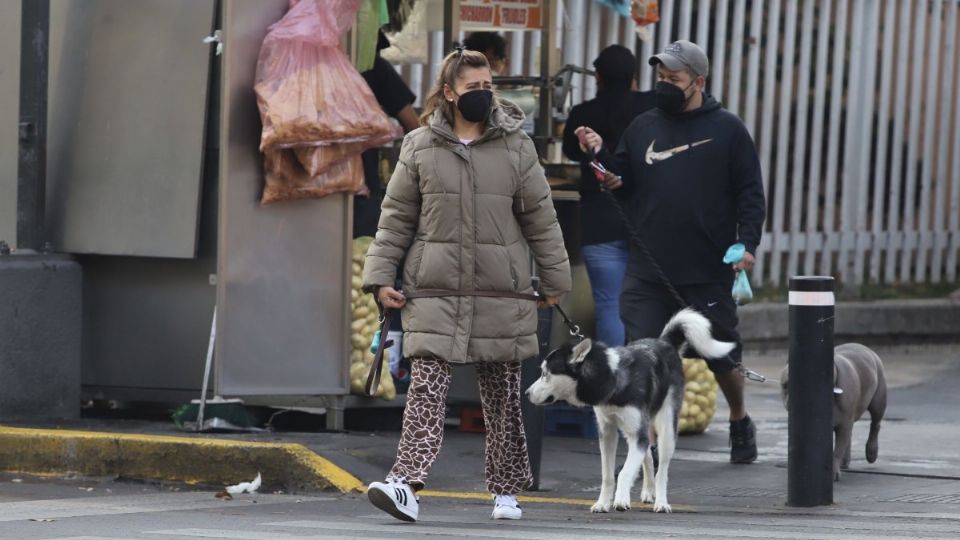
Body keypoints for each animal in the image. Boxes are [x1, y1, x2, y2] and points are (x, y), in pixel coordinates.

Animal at [524, 308, 736, 516]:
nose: (526, 394)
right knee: (648, 456)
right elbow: (607, 475)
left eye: (545, 374)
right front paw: (602, 503)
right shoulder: (608, 433)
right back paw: (648, 491)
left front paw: (621, 500)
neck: (612, 377)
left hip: (666, 429)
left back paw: (661, 502)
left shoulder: (637, 435)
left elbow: (625, 472)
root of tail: (665, 342)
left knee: (662, 470)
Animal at [776, 344, 888, 478]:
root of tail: (866, 349)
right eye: (785, 385)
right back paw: (845, 462)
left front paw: (833, 472)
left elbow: (837, 450)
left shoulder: (844, 424)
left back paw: (871, 452)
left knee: (875, 424)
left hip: (878, 401)